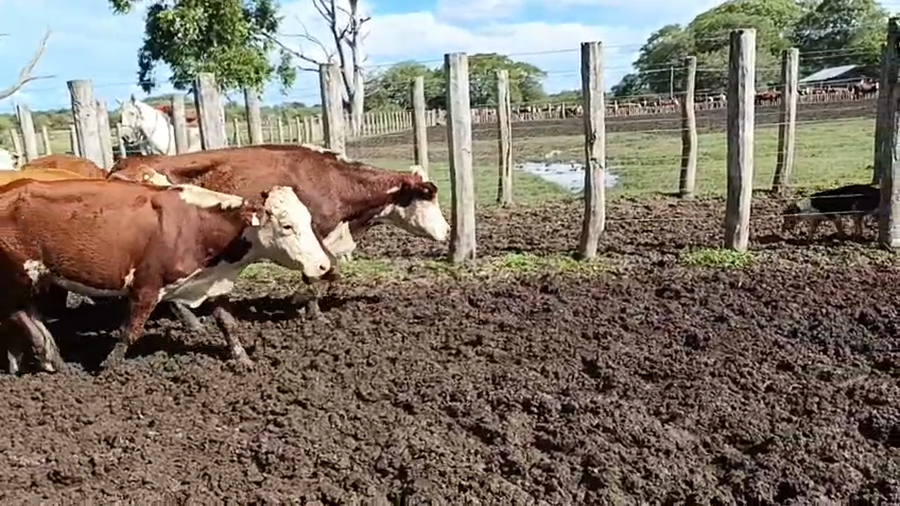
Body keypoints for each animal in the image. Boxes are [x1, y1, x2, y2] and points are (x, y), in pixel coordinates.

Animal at [0, 179, 333, 373]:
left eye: (308, 219)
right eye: (287, 226)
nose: (323, 266)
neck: (196, 225)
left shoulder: (212, 283)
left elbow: (229, 324)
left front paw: (243, 360)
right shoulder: (146, 287)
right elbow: (130, 331)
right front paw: (108, 368)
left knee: (25, 317)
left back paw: (37, 359)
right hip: (18, 276)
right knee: (17, 314)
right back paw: (48, 359)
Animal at [107, 143, 450, 320]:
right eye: (429, 195)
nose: (447, 230)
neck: (332, 180)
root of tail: (125, 163)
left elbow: (328, 273)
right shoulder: (314, 235)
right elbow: (317, 275)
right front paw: (311, 310)